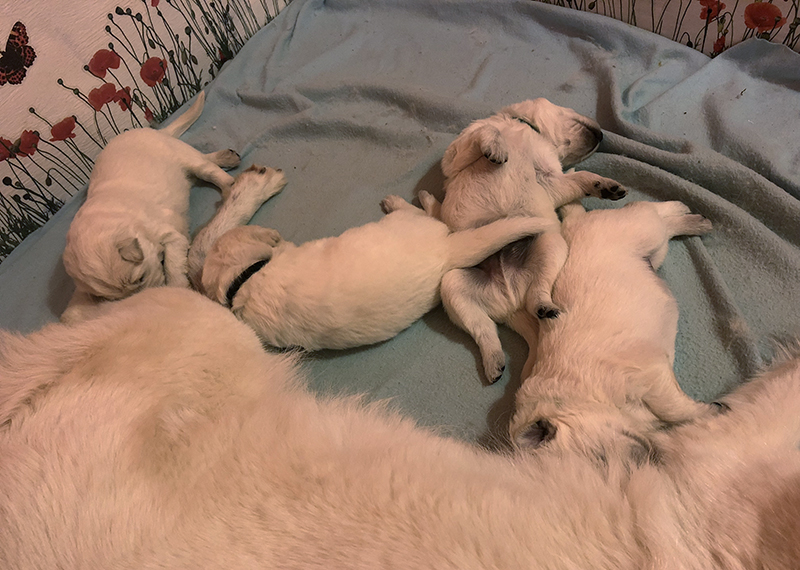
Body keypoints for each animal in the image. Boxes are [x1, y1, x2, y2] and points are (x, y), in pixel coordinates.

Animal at [61, 91, 241, 323]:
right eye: (118, 298)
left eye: (141, 278)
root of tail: (154, 131)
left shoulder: (170, 235)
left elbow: (172, 266)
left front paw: (177, 288)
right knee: (206, 159)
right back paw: (226, 157)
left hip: (184, 155)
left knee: (208, 169)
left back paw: (229, 182)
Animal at [425, 98, 627, 382]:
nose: (601, 135)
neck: (526, 131)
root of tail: (511, 302)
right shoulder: (455, 156)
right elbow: (485, 132)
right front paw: (496, 147)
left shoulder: (550, 181)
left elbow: (577, 178)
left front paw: (604, 185)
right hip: (453, 286)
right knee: (483, 328)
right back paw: (494, 362)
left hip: (550, 245)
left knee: (536, 293)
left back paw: (543, 308)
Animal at [509, 200, 718, 456]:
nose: (644, 457)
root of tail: (575, 220)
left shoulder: (651, 377)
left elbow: (673, 408)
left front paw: (712, 410)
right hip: (655, 250)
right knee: (664, 226)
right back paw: (695, 222)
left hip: (640, 229)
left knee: (648, 208)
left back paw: (689, 213)